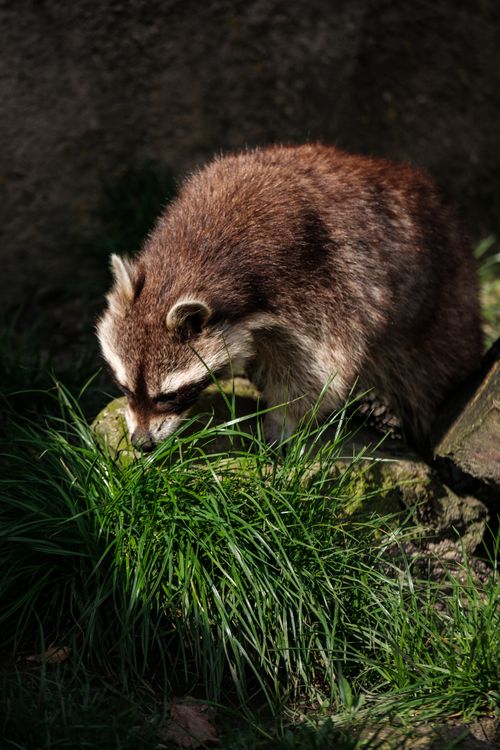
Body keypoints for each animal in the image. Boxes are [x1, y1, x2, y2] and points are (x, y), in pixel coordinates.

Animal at [97, 144, 482, 452]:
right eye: (124, 387)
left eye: (169, 395)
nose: (141, 443)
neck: (187, 259)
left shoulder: (318, 282)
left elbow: (320, 372)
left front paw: (282, 421)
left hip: (442, 312)